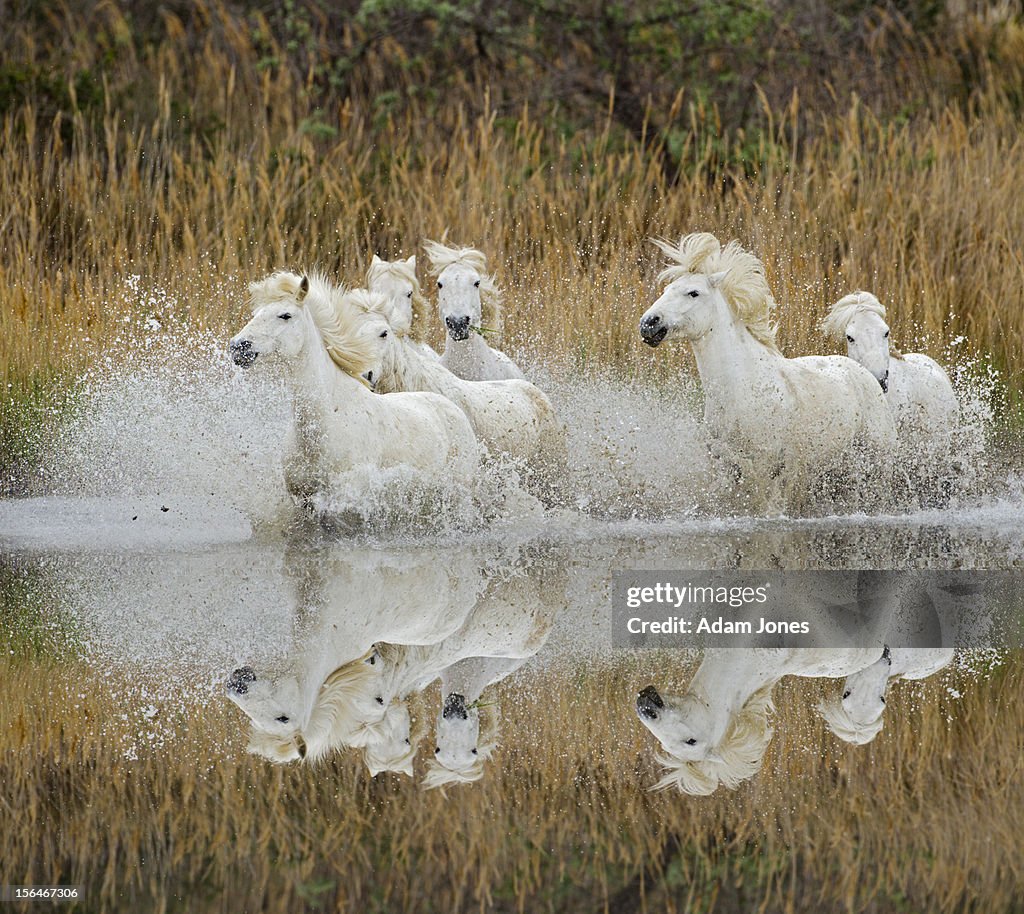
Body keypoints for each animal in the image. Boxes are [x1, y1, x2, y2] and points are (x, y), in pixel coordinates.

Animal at [639, 234, 897, 512]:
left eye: (693, 292)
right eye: (666, 290)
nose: (648, 324)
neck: (741, 386)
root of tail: (869, 376)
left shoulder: (767, 468)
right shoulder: (726, 468)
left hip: (876, 463)